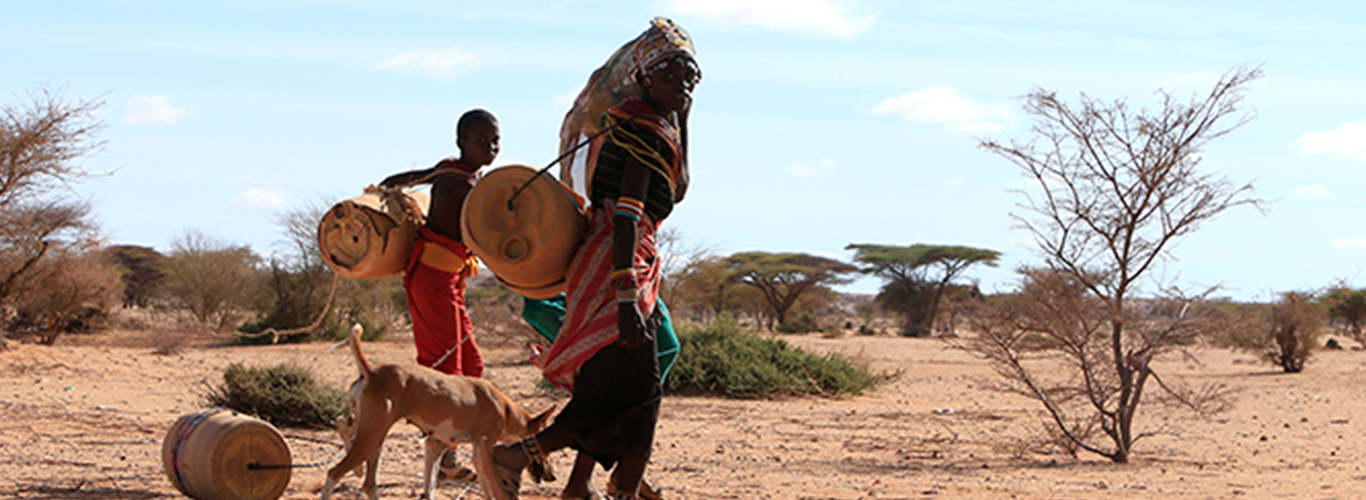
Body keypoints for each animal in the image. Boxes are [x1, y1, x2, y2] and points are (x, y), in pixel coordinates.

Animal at [321, 323, 554, 500]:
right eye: (543, 447)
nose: (553, 478)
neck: (505, 410)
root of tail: (371, 371)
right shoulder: (483, 451)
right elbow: (495, 490)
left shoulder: (435, 445)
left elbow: (430, 486)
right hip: (373, 436)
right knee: (333, 473)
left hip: (374, 437)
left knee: (367, 479)